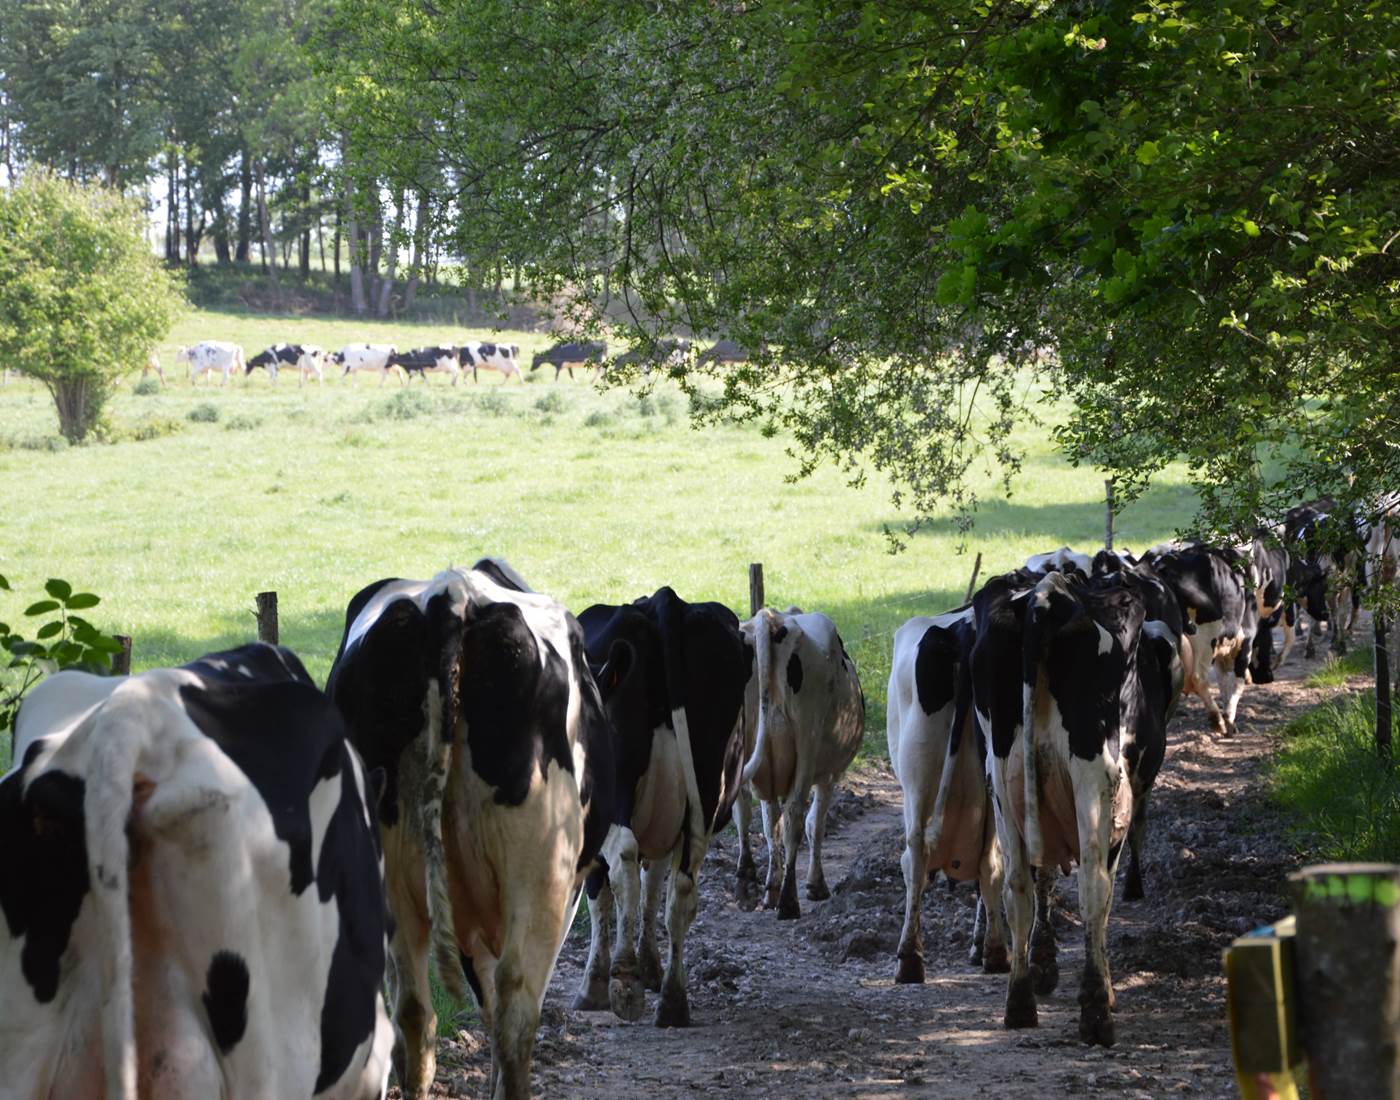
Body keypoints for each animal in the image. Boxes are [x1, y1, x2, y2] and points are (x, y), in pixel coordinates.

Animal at [571, 587, 751, 1029]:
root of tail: (663, 600)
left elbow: (602, 892)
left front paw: (597, 983)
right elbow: (654, 885)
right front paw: (649, 967)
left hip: (614, 794)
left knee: (623, 860)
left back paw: (624, 983)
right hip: (706, 790)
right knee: (682, 890)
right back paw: (672, 999)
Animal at [737, 607, 863, 920]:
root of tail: (770, 618)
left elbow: (770, 825)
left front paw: (770, 888)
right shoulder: (829, 774)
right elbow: (813, 824)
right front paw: (815, 885)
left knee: (742, 810)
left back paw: (746, 884)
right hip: (808, 740)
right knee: (795, 815)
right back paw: (788, 901)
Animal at [887, 606, 1011, 985]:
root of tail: (965, 630)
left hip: (918, 774)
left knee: (915, 855)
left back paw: (909, 959)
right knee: (991, 864)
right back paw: (995, 953)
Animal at [976, 567, 1182, 1046]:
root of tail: (1047, 593)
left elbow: (1043, 878)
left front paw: (1044, 965)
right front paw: (1103, 989)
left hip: (1003, 779)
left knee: (1017, 885)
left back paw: (1020, 1003)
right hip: (1095, 777)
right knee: (1094, 884)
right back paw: (1096, 1014)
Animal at [1140, 542, 1256, 736]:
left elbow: (1223, 681)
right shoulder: (1245, 639)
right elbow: (1236, 682)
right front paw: (1229, 720)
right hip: (1204, 638)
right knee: (1198, 677)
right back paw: (1217, 720)